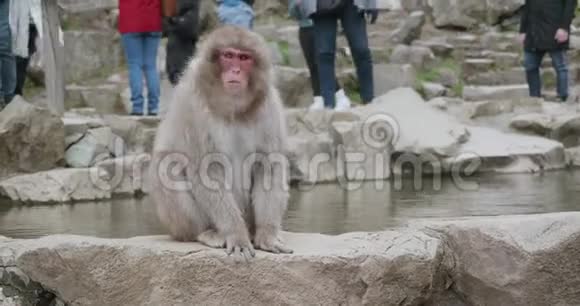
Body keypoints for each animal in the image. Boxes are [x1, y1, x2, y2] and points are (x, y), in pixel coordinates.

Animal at [150, 25, 292, 262]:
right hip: (177, 225)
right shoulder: (191, 102)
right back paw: (207, 232)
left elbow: (268, 166)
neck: (231, 107)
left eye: (244, 58)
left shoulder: (269, 104)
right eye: (228, 55)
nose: (235, 71)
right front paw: (236, 235)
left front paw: (268, 234)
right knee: (166, 166)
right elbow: (206, 169)